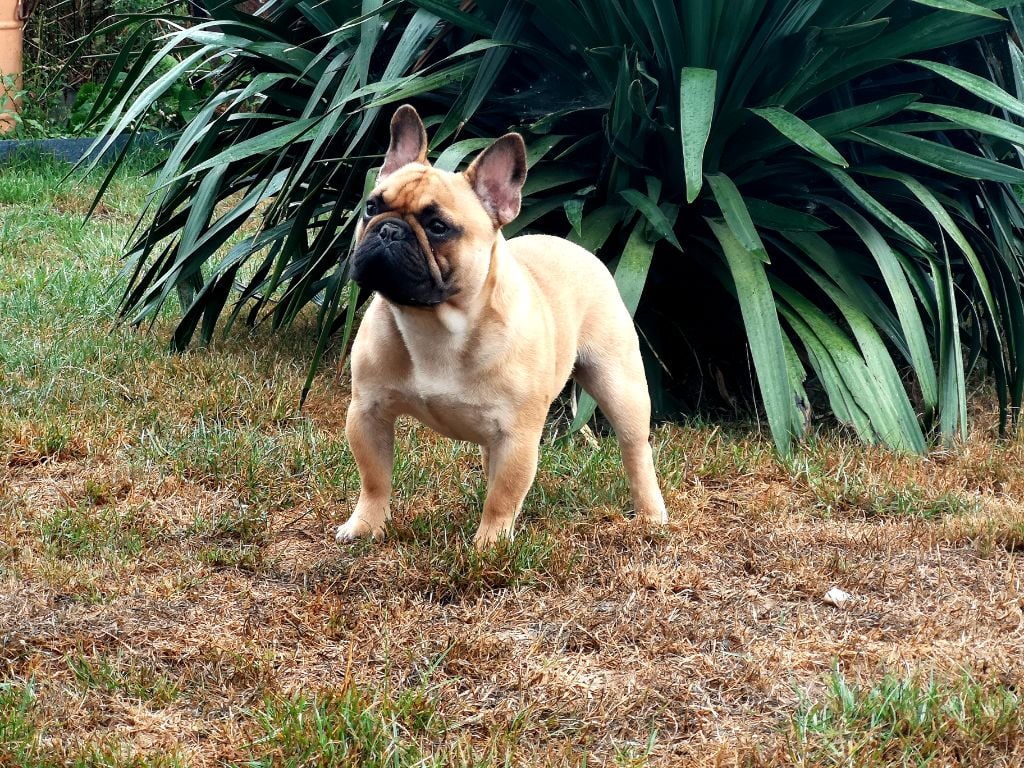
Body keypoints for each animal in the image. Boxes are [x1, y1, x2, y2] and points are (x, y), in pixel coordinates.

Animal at [336, 104, 667, 548]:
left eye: (438, 227)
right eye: (372, 207)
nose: (389, 230)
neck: (434, 323)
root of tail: (575, 247)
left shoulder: (518, 436)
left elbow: (504, 494)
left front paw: (489, 544)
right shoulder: (367, 413)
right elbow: (374, 479)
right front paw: (365, 526)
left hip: (619, 385)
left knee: (635, 449)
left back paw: (650, 514)